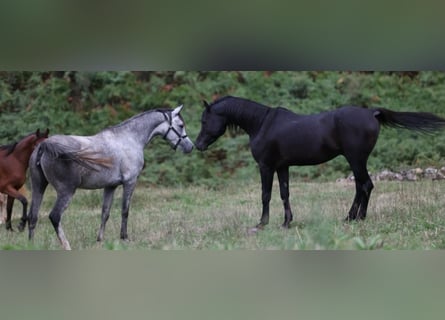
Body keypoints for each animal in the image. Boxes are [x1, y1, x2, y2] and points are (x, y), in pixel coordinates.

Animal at [27, 105, 193, 250]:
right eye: (180, 125)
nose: (190, 147)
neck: (129, 138)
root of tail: (44, 145)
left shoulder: (110, 186)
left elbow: (105, 213)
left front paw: (100, 240)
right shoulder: (130, 182)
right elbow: (125, 211)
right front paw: (124, 238)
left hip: (38, 187)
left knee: (33, 217)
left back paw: (32, 245)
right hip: (66, 191)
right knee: (54, 216)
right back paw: (66, 245)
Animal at [196, 95, 444, 230]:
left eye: (204, 120)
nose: (197, 144)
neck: (261, 124)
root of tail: (372, 113)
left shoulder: (266, 166)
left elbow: (265, 195)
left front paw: (262, 223)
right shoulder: (282, 166)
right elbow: (284, 193)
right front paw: (286, 222)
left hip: (356, 159)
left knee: (365, 185)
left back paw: (357, 218)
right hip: (357, 160)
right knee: (361, 186)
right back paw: (350, 217)